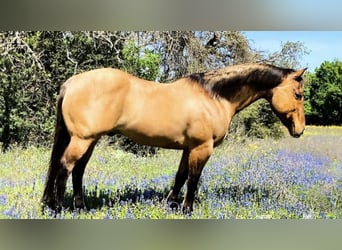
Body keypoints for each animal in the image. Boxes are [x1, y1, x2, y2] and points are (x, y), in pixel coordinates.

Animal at [41, 62, 306, 213]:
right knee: (64, 168)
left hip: (90, 140)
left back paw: (79, 207)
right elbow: (193, 180)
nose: (300, 130)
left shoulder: (189, 148)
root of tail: (72, 82)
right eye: (298, 94)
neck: (214, 96)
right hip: (82, 140)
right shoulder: (202, 148)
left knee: (77, 171)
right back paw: (58, 208)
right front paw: (187, 209)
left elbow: (180, 177)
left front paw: (170, 204)